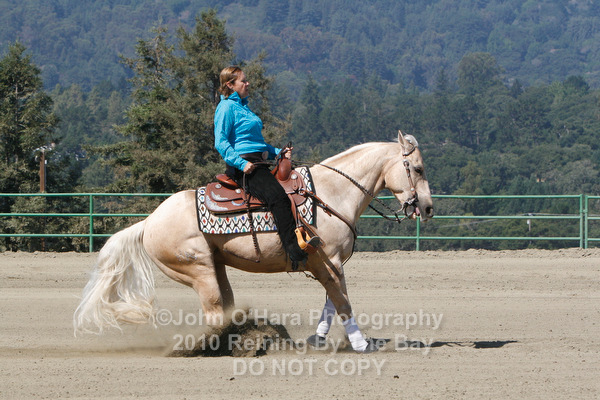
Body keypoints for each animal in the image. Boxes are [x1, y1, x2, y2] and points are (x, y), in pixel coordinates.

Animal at [73, 131, 434, 353]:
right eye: (417, 168)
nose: (428, 207)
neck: (332, 193)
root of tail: (149, 222)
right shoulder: (327, 260)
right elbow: (342, 302)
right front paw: (361, 345)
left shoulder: (330, 263)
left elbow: (332, 302)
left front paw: (317, 339)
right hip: (198, 270)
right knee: (215, 313)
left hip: (214, 268)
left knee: (224, 310)